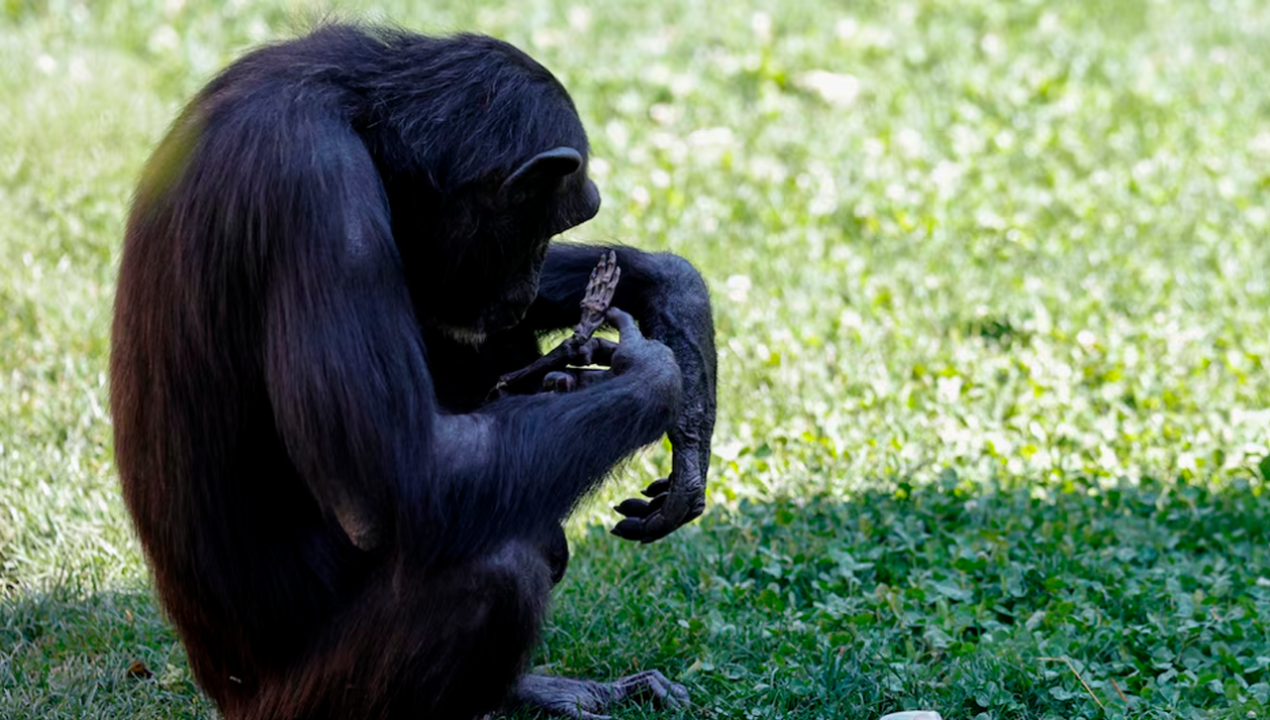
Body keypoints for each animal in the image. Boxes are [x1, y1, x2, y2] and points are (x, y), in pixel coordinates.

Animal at [113, 22, 716, 720]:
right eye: (541, 226)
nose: (527, 284)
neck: (358, 114)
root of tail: (219, 688)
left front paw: (678, 308)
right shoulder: (321, 196)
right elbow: (399, 478)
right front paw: (655, 374)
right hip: (295, 701)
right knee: (498, 571)